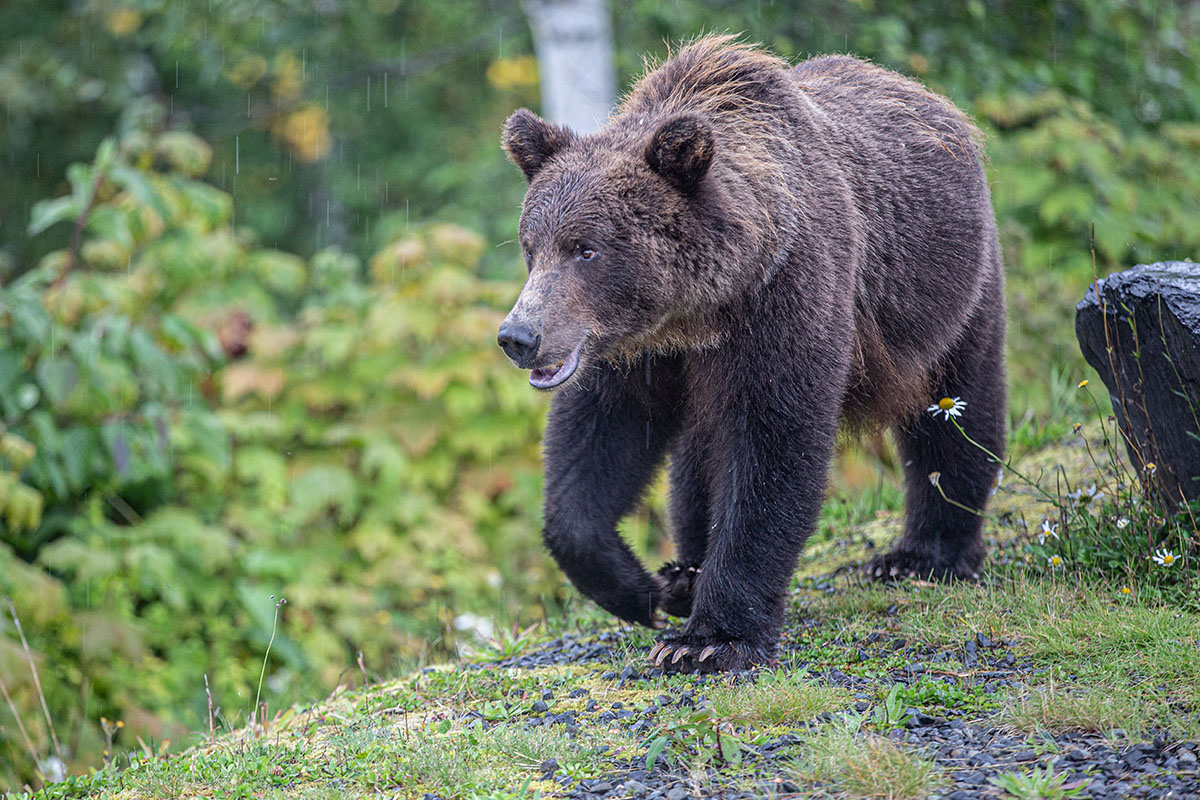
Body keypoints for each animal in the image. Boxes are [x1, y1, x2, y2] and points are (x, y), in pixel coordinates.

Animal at [496, 38, 1003, 676]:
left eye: (586, 248)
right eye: (531, 246)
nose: (519, 336)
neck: (701, 310)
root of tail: (933, 100)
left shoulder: (787, 300)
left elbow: (773, 445)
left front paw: (708, 639)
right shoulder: (631, 350)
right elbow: (596, 441)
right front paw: (640, 590)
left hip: (952, 292)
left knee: (958, 408)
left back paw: (923, 555)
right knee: (695, 457)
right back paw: (683, 573)